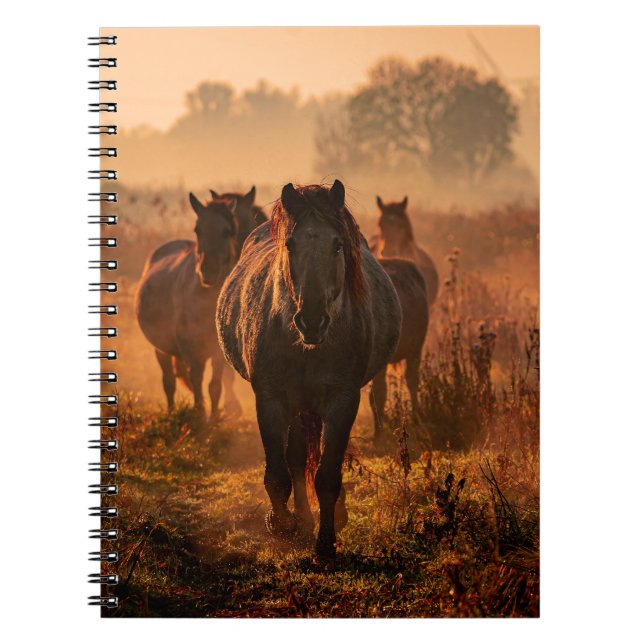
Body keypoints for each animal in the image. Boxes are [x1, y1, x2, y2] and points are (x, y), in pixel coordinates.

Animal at [135, 193, 242, 427]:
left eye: (227, 231)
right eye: (198, 229)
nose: (208, 272)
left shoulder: (217, 352)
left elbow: (214, 386)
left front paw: (214, 418)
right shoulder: (192, 351)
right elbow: (197, 382)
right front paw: (200, 415)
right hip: (161, 349)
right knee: (168, 382)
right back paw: (171, 412)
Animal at [216, 181, 402, 557]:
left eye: (338, 244)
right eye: (290, 244)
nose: (312, 320)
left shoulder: (342, 401)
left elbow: (328, 475)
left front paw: (326, 542)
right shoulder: (270, 400)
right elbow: (279, 474)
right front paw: (283, 524)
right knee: (297, 460)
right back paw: (300, 521)